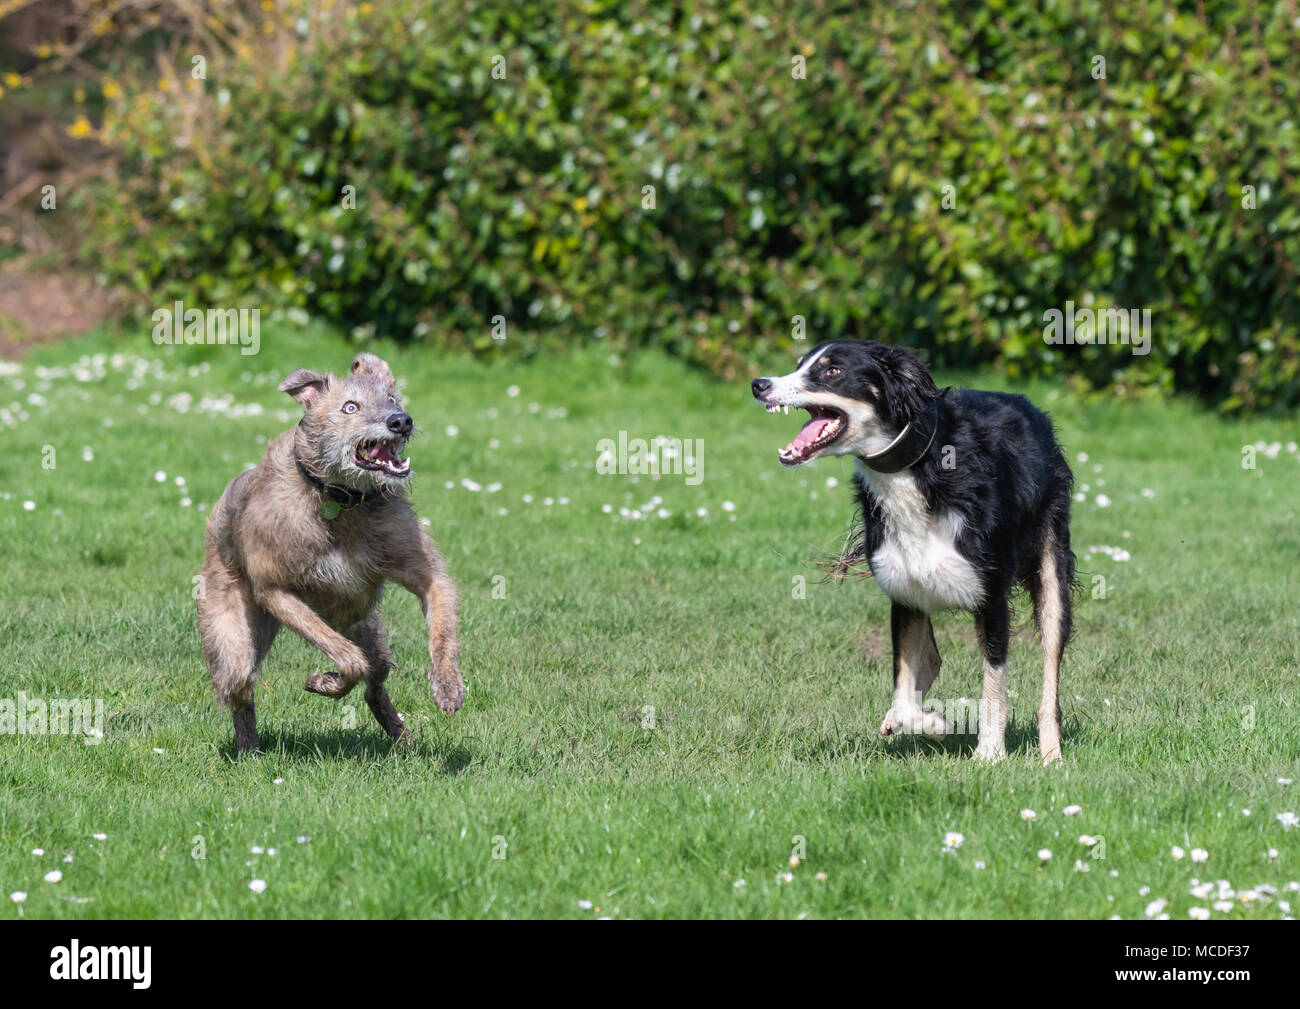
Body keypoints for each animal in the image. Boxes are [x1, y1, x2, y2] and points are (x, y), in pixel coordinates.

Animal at [195, 351, 465, 754]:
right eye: (350, 407)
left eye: (392, 398)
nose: (401, 421)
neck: (339, 500)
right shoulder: (276, 592)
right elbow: (348, 659)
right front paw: (324, 681)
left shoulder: (424, 572)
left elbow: (441, 620)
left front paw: (448, 685)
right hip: (231, 628)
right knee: (241, 687)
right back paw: (249, 752)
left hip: (366, 626)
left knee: (377, 676)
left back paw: (403, 739)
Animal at [754, 343, 1076, 759]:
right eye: (799, 365)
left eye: (832, 371)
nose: (759, 384)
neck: (918, 471)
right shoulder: (905, 594)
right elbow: (905, 688)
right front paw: (933, 723)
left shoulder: (992, 598)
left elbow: (993, 684)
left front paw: (989, 753)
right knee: (931, 661)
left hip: (1052, 569)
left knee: (1050, 677)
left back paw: (1051, 755)